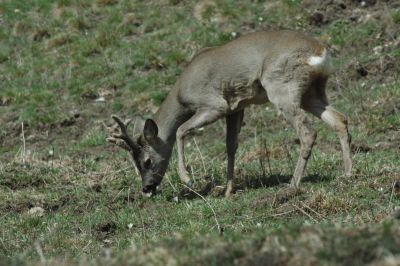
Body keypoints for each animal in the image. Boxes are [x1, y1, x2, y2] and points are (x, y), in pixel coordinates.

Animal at [108, 30, 352, 196]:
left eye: (147, 161)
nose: (147, 187)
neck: (181, 94)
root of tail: (320, 52)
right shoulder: (236, 108)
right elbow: (231, 146)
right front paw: (227, 191)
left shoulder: (215, 104)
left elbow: (180, 130)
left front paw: (187, 178)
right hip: (312, 92)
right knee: (340, 119)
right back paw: (348, 173)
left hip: (282, 87)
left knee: (308, 132)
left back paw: (292, 184)